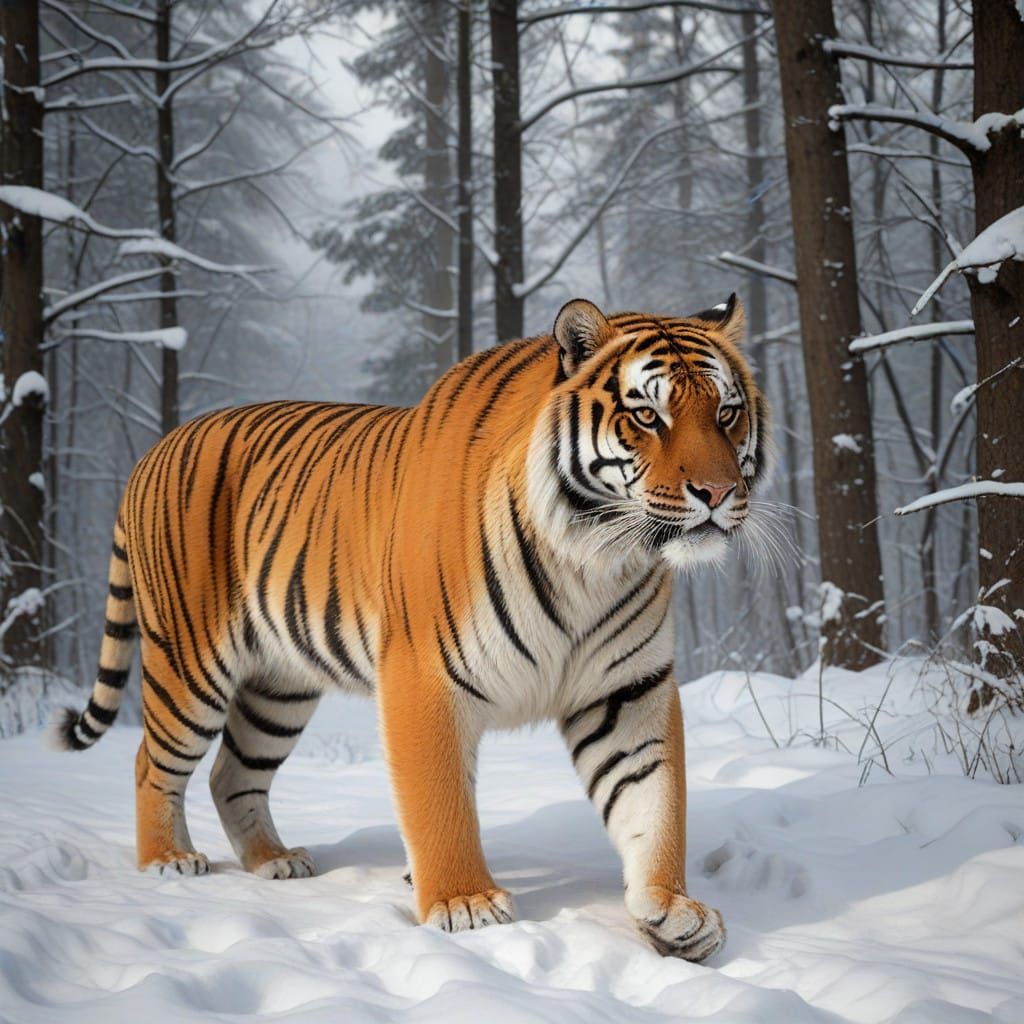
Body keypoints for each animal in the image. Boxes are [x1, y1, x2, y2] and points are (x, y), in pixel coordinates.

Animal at [50, 294, 768, 963]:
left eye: (725, 413)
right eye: (647, 415)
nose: (716, 493)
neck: (595, 558)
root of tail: (156, 448)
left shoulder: (627, 688)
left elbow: (654, 799)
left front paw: (673, 910)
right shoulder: (426, 676)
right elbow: (439, 801)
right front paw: (465, 904)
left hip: (277, 688)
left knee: (233, 772)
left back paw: (274, 862)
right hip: (190, 663)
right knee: (151, 761)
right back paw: (168, 861)